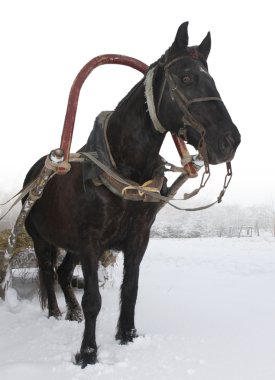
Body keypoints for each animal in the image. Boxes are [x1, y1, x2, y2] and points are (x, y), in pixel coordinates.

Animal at [22, 22, 240, 366]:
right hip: (42, 240)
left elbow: (130, 289)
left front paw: (127, 335)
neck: (123, 173)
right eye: (186, 77)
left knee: (63, 273)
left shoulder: (138, 239)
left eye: (212, 79)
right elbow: (94, 299)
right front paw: (87, 354)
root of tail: (34, 176)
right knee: (47, 272)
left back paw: (71, 313)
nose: (229, 141)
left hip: (71, 245)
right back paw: (56, 313)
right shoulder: (90, 242)